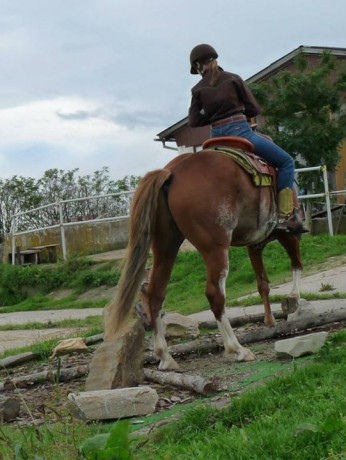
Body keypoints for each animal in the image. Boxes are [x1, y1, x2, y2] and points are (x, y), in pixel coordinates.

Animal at [104, 139, 302, 370]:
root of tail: (172, 171)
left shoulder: (254, 245)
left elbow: (263, 282)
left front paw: (272, 319)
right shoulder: (288, 234)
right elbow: (296, 265)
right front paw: (295, 301)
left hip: (165, 247)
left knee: (156, 294)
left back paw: (165, 356)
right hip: (215, 249)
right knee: (215, 294)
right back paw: (237, 349)